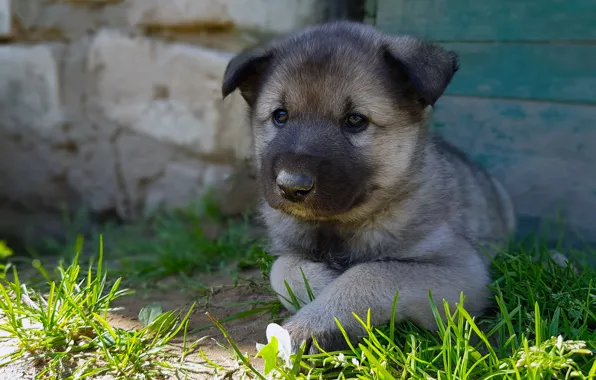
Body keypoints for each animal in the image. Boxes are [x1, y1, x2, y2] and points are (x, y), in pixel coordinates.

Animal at [221, 20, 516, 354]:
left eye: (355, 120)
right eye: (279, 115)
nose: (291, 187)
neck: (337, 226)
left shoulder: (462, 268)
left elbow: (372, 272)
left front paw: (317, 321)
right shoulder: (289, 250)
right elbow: (283, 268)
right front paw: (322, 285)